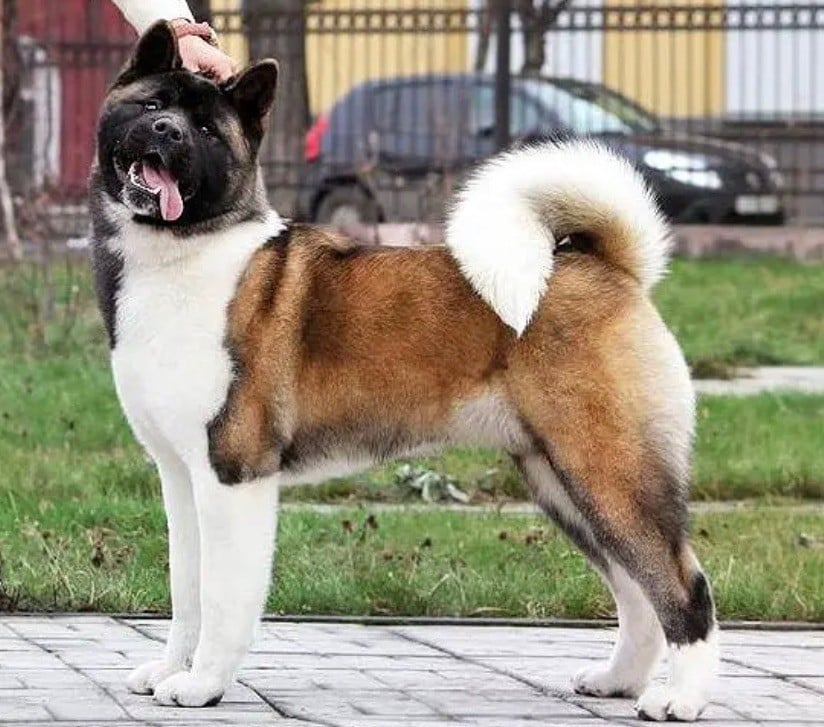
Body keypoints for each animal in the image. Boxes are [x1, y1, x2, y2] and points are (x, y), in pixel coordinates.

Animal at [89, 21, 718, 721]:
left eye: (204, 129)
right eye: (152, 105)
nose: (168, 131)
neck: (187, 253)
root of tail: (608, 267)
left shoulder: (233, 476)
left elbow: (223, 598)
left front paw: (203, 685)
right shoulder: (182, 479)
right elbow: (187, 591)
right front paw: (171, 670)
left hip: (608, 471)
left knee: (681, 586)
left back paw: (681, 698)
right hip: (561, 479)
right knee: (636, 591)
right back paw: (619, 680)